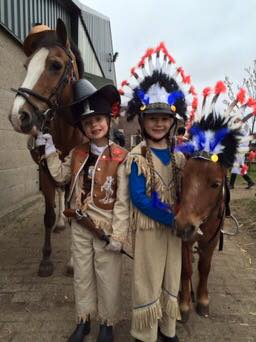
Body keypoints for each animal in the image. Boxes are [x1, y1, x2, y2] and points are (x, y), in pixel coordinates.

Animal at [8, 18, 85, 276]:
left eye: (55, 65)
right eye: (26, 65)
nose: (18, 116)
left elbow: (74, 211)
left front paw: (73, 263)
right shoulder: (44, 167)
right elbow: (48, 214)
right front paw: (46, 259)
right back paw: (60, 224)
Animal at [175, 81, 255, 322]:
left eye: (216, 183)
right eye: (183, 177)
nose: (183, 225)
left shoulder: (210, 240)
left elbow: (205, 267)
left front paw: (202, 299)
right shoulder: (185, 240)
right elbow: (186, 269)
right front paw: (184, 303)